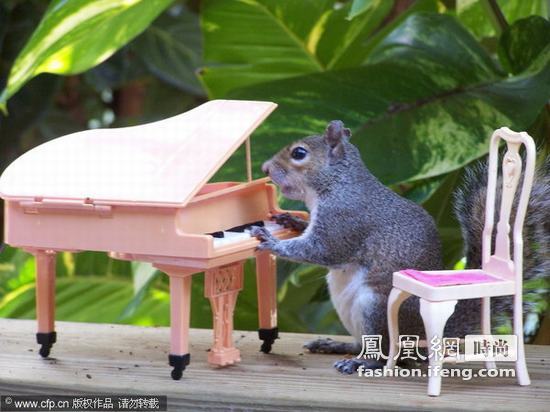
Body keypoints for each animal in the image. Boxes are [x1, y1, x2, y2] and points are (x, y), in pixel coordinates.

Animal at [252, 119, 548, 374]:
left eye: (299, 153)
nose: (265, 168)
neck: (338, 183)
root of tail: (426, 337)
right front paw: (288, 220)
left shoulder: (344, 221)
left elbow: (321, 250)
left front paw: (271, 241)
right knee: (366, 345)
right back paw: (335, 345)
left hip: (375, 307)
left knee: (388, 353)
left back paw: (362, 363)